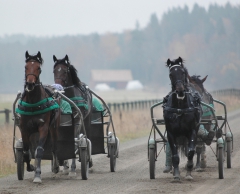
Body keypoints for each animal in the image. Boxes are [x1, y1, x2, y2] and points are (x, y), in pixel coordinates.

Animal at [16, 50, 61, 183]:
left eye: (39, 68)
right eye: (25, 67)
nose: (30, 84)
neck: (33, 104)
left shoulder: (43, 127)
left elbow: (39, 151)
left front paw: (37, 175)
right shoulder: (25, 129)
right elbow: (26, 151)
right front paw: (31, 167)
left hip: (54, 127)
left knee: (54, 146)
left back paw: (56, 166)